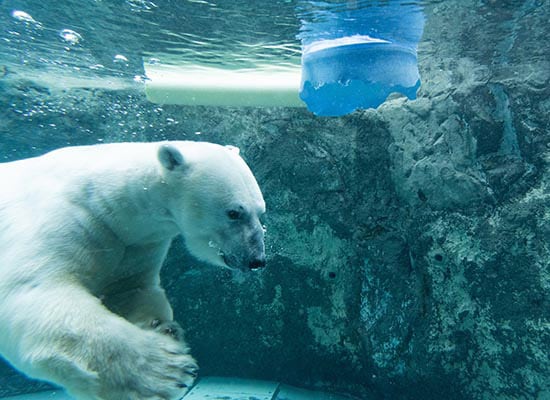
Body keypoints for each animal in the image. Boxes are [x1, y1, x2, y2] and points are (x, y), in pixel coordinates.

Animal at [0, 141, 268, 400]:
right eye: (233, 213)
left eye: (261, 212)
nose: (256, 259)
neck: (103, 199)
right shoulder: (67, 220)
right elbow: (37, 290)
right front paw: (167, 371)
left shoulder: (135, 244)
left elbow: (131, 290)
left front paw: (164, 328)